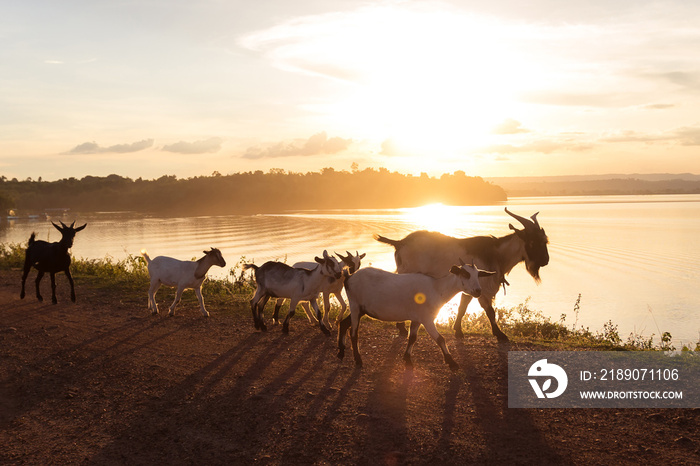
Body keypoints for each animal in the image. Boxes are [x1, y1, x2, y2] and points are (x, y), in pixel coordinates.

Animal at [336, 260, 494, 370]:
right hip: (355, 305)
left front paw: (407, 359)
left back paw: (341, 352)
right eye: (465, 274)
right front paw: (452, 363)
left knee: (343, 324)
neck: (437, 289)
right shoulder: (427, 318)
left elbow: (412, 337)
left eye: (478, 274)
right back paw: (358, 360)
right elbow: (440, 339)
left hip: (361, 309)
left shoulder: (417, 318)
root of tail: (349, 277)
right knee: (354, 333)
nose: (478, 291)